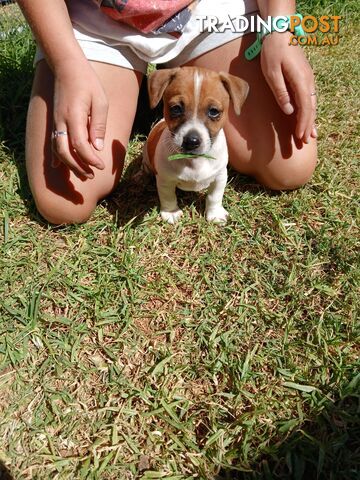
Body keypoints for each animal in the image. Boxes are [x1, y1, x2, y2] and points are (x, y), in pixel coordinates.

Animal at [142, 64, 249, 224]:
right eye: (176, 108)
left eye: (214, 111)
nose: (191, 141)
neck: (194, 162)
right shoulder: (165, 180)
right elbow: (168, 197)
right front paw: (171, 212)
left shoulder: (220, 176)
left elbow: (214, 197)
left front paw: (215, 213)